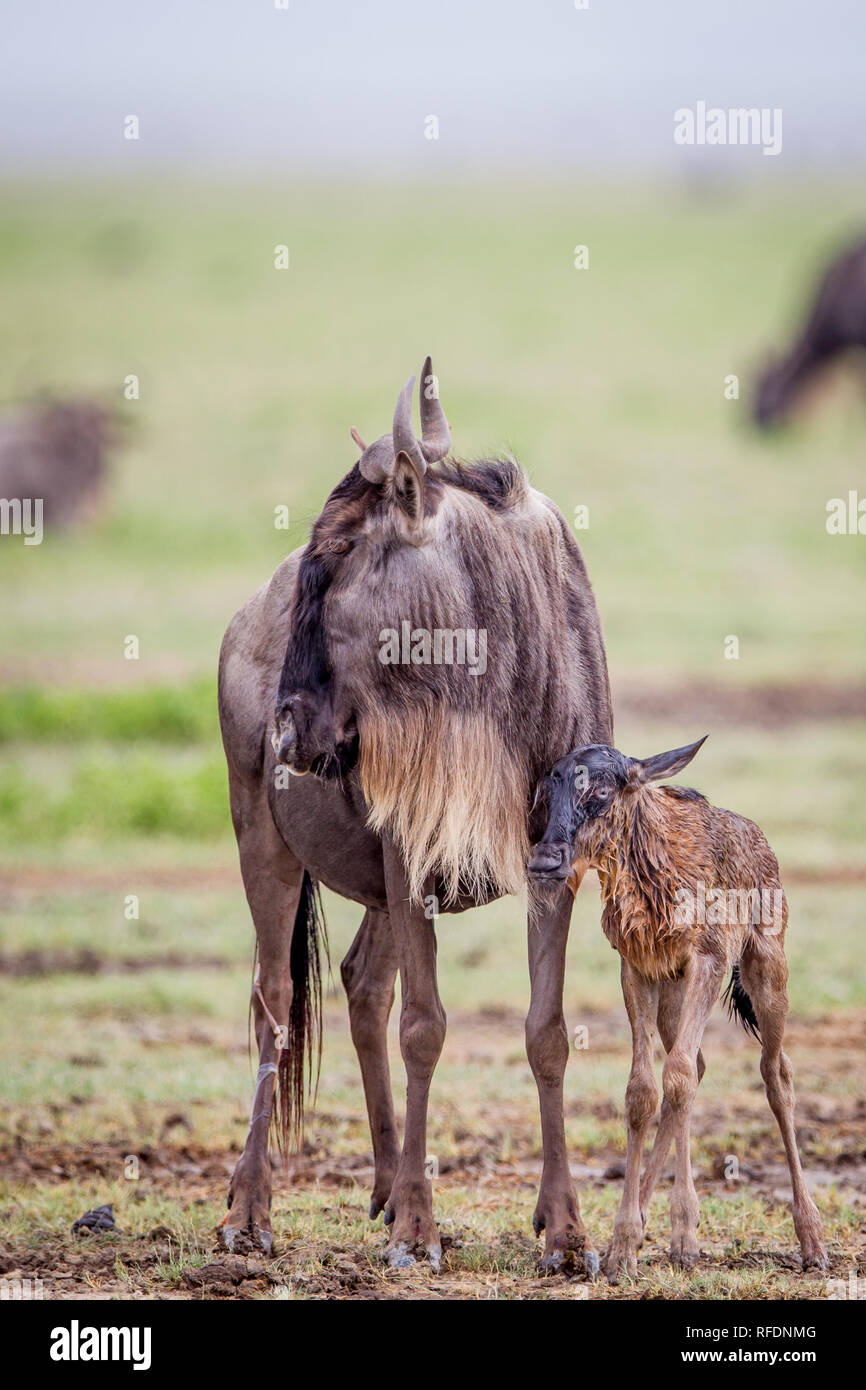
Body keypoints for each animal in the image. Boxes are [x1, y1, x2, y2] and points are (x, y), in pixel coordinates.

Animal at [528, 739, 828, 1278]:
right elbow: (645, 1089)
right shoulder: (637, 969)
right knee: (695, 1067)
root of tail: (759, 840)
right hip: (674, 993)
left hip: (767, 970)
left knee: (775, 1073)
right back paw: (650, 1228)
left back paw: (811, 1240)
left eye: (602, 790)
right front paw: (624, 1244)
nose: (544, 860)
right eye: (549, 785)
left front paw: (679, 1236)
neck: (652, 871)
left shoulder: (709, 959)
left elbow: (679, 1078)